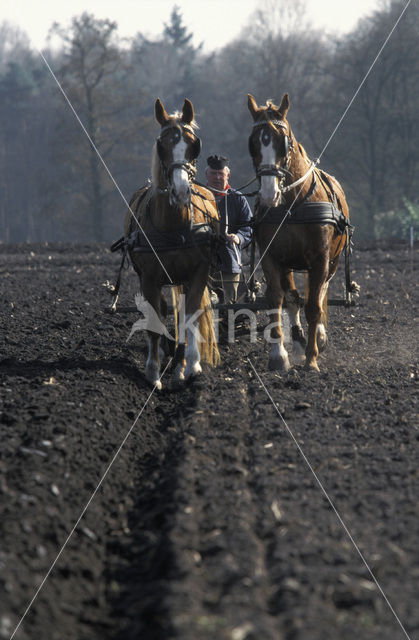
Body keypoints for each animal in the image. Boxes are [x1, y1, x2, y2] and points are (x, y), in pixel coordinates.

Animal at [124, 97, 221, 388]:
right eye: (162, 144)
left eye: (192, 144)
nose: (180, 191)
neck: (174, 225)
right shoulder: (149, 277)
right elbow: (156, 320)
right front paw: (153, 373)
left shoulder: (198, 273)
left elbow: (190, 317)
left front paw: (191, 367)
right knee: (165, 309)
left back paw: (180, 361)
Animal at [249, 95, 352, 376]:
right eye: (253, 143)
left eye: (283, 140)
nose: (268, 194)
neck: (293, 205)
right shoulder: (271, 257)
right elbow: (277, 300)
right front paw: (279, 356)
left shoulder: (320, 259)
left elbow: (314, 305)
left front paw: (312, 359)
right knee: (293, 299)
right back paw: (297, 344)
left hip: (333, 261)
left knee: (320, 292)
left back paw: (319, 338)